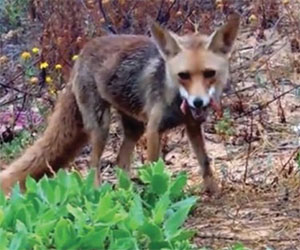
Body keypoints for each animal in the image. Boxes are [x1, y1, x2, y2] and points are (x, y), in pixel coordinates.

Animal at [0, 13, 239, 195]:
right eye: (184, 75)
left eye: (209, 74)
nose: (198, 102)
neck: (175, 99)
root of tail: (82, 52)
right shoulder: (154, 129)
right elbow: (153, 166)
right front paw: (157, 193)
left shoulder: (193, 126)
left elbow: (205, 162)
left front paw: (214, 191)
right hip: (101, 126)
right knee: (94, 164)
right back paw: (100, 192)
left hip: (134, 128)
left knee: (120, 161)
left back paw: (126, 192)